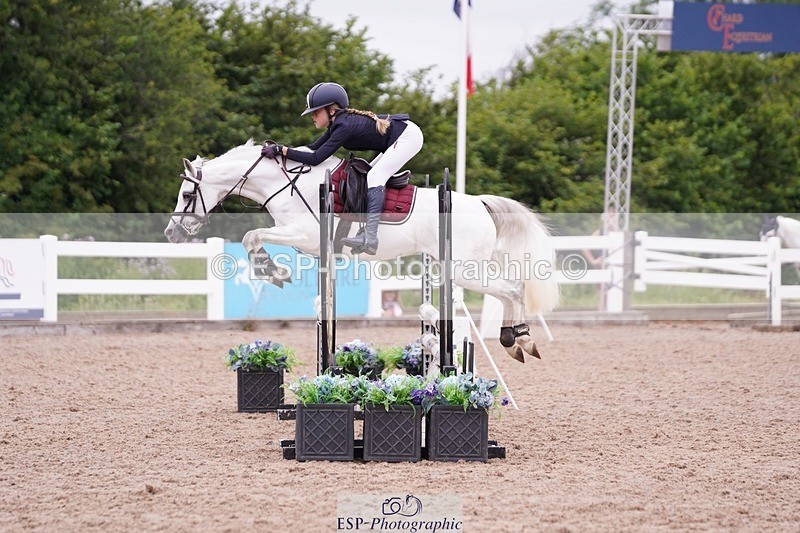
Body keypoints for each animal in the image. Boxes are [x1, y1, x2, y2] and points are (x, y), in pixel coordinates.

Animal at [164, 140, 559, 362]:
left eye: (186, 194)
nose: (171, 233)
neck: (288, 184)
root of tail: (480, 203)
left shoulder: (305, 235)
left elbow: (251, 236)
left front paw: (272, 271)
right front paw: (273, 270)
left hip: (463, 269)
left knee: (513, 288)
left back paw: (520, 338)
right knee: (507, 290)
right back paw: (513, 339)